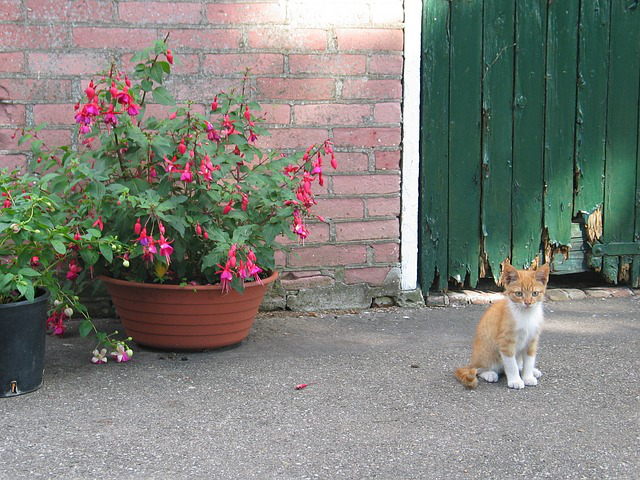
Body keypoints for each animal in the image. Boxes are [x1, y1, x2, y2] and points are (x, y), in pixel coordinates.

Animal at [456, 262, 552, 390]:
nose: (527, 303)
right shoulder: (505, 342)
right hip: (487, 353)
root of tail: (473, 361)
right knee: (478, 370)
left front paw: (528, 376)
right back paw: (490, 374)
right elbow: (511, 364)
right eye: (519, 293)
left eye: (535, 293)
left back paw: (532, 371)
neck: (526, 315)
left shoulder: (532, 340)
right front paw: (515, 380)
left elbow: (529, 360)